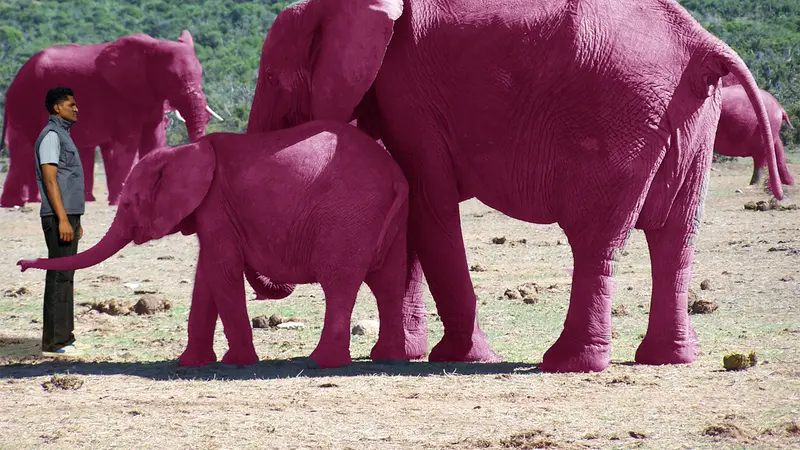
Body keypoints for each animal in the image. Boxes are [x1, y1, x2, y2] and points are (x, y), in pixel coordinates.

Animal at [0, 30, 222, 207]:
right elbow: (127, 144)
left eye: (201, 74)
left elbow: (154, 139)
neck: (152, 47)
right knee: (24, 149)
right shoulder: (120, 97)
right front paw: (120, 201)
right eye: (172, 78)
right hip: (26, 100)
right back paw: (14, 204)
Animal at [17, 120, 432, 370]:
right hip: (384, 216)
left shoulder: (216, 205)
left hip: (348, 216)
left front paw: (237, 362)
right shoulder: (213, 213)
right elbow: (207, 278)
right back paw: (386, 358)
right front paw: (191, 363)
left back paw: (321, 363)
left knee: (340, 284)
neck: (185, 150)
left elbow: (222, 273)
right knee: (387, 282)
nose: (21, 264)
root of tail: (395, 174)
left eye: (131, 203)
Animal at [248, 0, 780, 372]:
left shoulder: (407, 91)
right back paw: (669, 359)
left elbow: (428, 203)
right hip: (693, 119)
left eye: (272, 77)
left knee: (597, 240)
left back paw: (566, 364)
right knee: (676, 238)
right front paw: (400, 354)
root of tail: (701, 44)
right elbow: (415, 206)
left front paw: (456, 357)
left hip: (618, 120)